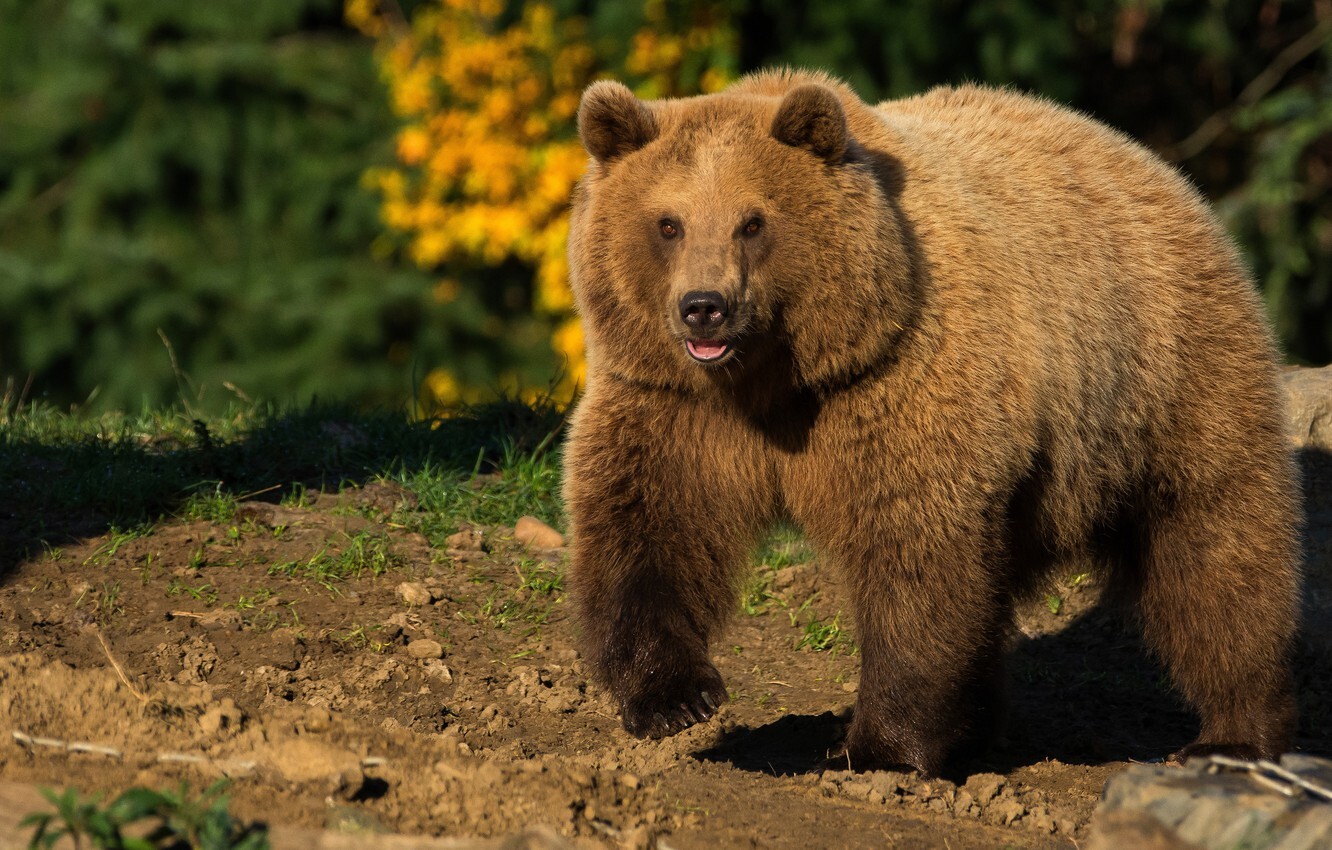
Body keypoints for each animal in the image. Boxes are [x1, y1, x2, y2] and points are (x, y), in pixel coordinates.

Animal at [562, 68, 1300, 778]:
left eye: (753, 221)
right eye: (668, 223)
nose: (704, 307)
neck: (776, 377)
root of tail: (1151, 163)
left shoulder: (894, 383)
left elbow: (916, 550)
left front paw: (875, 748)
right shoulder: (673, 404)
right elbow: (648, 526)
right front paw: (674, 698)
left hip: (1168, 380)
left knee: (1215, 550)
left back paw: (1233, 734)